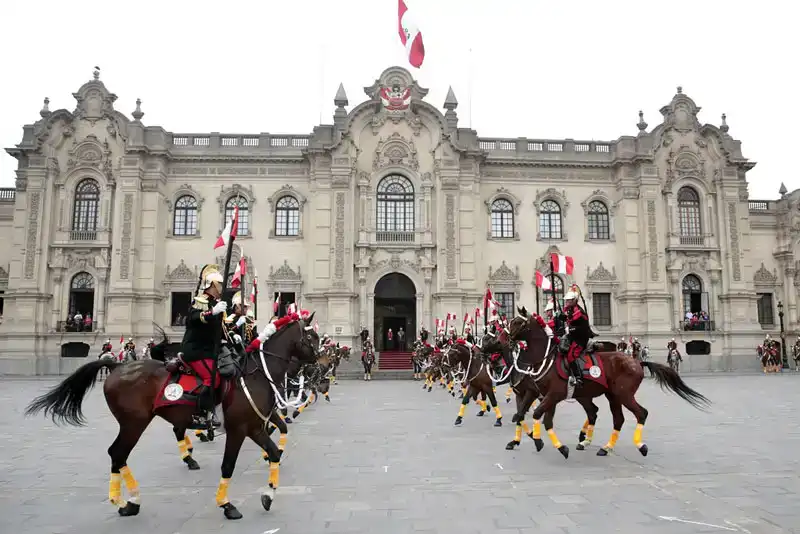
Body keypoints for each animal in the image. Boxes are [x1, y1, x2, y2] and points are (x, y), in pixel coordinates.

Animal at [25, 314, 318, 520]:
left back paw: (130, 501)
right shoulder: (237, 429)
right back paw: (127, 501)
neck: (257, 374)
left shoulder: (255, 427)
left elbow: (275, 451)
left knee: (121, 454)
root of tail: (117, 365)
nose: (316, 369)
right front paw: (227, 505)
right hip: (134, 423)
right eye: (310, 339)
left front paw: (268, 495)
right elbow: (228, 466)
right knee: (118, 453)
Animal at [510, 310, 708, 460]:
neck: (546, 359)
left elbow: (537, 414)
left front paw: (540, 442)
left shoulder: (553, 395)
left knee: (640, 413)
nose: (511, 340)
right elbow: (543, 419)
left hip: (623, 395)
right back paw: (604, 447)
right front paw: (555, 446)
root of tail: (637, 362)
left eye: (518, 323)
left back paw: (640, 445)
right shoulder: (549, 396)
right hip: (612, 396)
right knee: (616, 419)